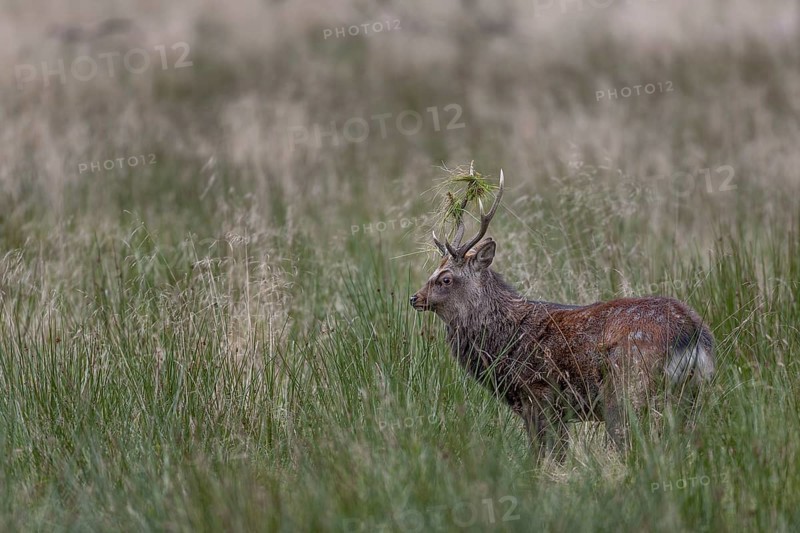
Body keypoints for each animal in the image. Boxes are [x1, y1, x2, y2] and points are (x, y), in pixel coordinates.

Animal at [410, 170, 715, 460]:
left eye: (445, 279)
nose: (415, 298)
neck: (504, 341)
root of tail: (691, 334)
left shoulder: (539, 394)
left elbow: (547, 455)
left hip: (627, 386)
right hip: (694, 393)